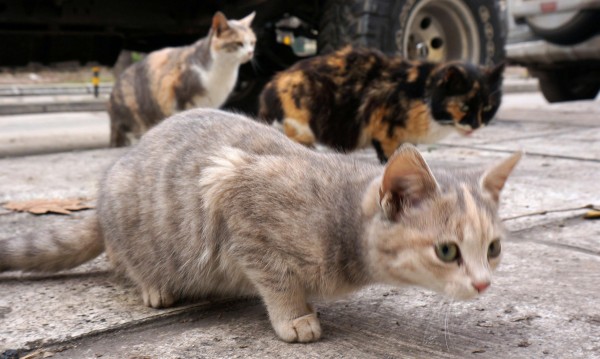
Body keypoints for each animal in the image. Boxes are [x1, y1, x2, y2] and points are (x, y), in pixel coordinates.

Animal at [0, 109, 520, 344]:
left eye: (493, 248)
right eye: (448, 251)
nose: (483, 284)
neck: (338, 211)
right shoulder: (236, 201)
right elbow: (276, 277)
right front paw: (294, 315)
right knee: (123, 257)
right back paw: (153, 284)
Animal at [258, 46, 506, 163]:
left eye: (487, 108)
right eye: (464, 107)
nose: (475, 125)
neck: (423, 93)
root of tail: (270, 85)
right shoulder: (385, 127)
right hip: (301, 124)